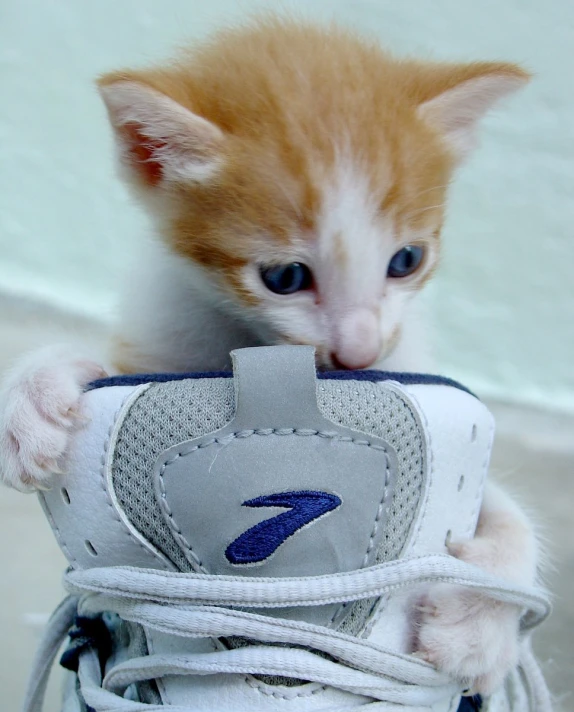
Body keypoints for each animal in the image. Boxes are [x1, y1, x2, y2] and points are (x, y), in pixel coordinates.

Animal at [0, 15, 540, 696]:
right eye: (284, 277)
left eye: (407, 260)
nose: (361, 353)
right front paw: (34, 394)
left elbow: (505, 506)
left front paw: (483, 620)